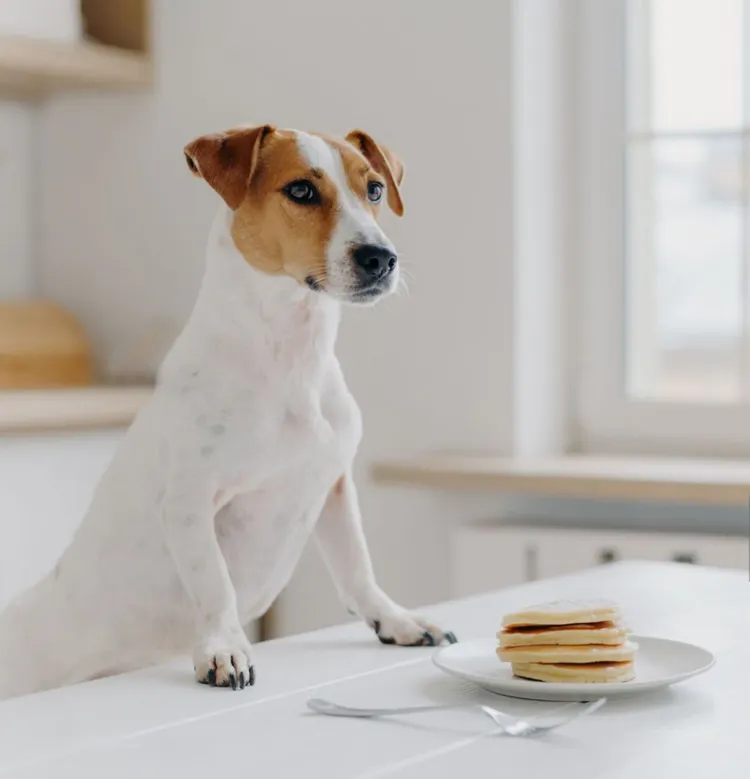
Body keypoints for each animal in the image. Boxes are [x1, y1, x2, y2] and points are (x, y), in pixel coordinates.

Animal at [0, 123, 458, 700]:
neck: (289, 357)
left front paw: (395, 619)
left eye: (374, 189)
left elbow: (358, 565)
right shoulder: (190, 502)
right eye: (301, 191)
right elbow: (214, 583)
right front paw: (223, 648)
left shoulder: (332, 486)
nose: (380, 257)